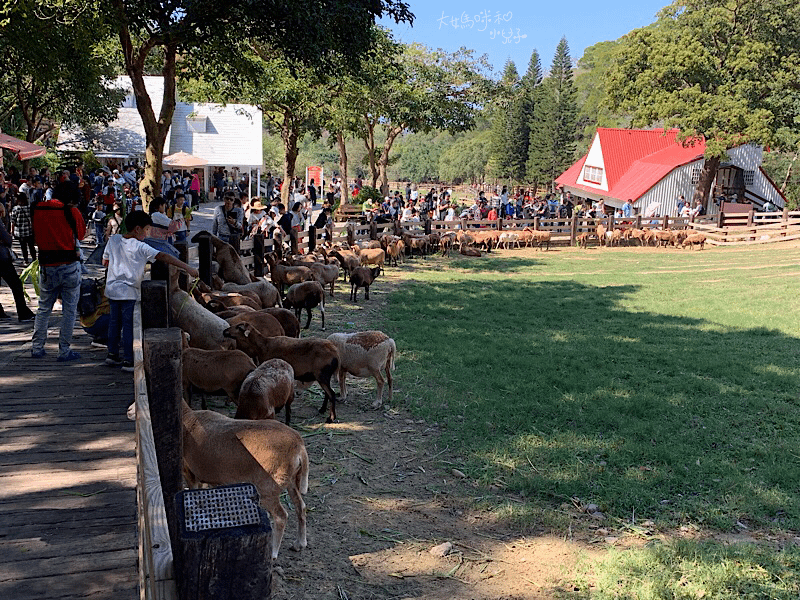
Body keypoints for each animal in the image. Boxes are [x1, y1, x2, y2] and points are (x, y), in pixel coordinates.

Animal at [182, 400, 310, 560]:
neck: (187, 416)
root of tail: (299, 447)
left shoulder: (189, 471)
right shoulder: (205, 476)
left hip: (268, 486)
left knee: (281, 516)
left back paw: (273, 552)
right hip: (291, 480)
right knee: (301, 507)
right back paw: (299, 544)